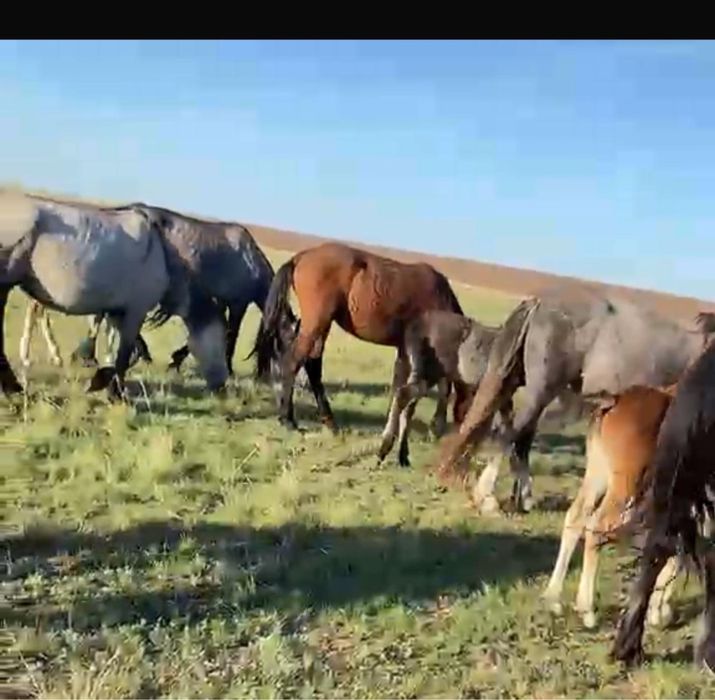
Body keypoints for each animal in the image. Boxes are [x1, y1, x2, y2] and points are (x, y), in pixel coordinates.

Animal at [0, 191, 229, 398]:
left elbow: (126, 349)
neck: (164, 254)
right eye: (221, 341)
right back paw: (15, 386)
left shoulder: (118, 311)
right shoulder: (136, 310)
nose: (222, 386)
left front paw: (101, 378)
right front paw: (116, 392)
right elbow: (125, 353)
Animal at [251, 242, 465, 433]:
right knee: (294, 363)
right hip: (317, 321)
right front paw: (436, 427)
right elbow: (442, 386)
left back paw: (329, 422)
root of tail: (301, 256)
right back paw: (288, 420)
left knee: (312, 365)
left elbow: (399, 383)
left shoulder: (403, 348)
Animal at [433, 284, 715, 515]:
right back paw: (488, 498)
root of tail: (539, 303)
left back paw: (523, 498)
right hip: (542, 391)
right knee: (509, 434)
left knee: (519, 438)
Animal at [542, 384, 690, 631]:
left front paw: (659, 610)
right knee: (597, 527)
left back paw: (553, 600)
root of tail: (614, 400)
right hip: (626, 485)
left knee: (576, 518)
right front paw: (659, 612)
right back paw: (587, 611)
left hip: (598, 475)